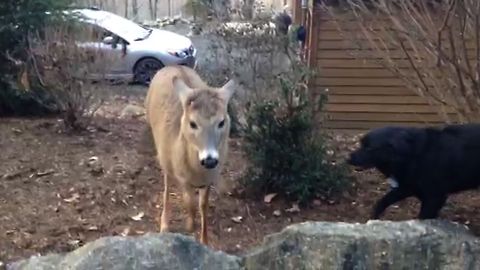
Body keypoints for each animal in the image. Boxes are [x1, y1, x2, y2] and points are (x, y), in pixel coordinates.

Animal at [145, 65, 237, 245]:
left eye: (222, 122)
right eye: (193, 123)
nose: (209, 160)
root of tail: (172, 65)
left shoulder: (210, 178)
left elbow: (203, 204)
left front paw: (205, 240)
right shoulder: (182, 176)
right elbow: (190, 202)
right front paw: (189, 226)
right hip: (162, 154)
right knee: (167, 185)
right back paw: (164, 224)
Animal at [346, 123, 480, 220]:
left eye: (369, 148)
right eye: (361, 144)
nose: (348, 158)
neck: (411, 155)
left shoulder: (435, 196)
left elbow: (424, 217)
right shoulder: (408, 187)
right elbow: (383, 201)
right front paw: (374, 218)